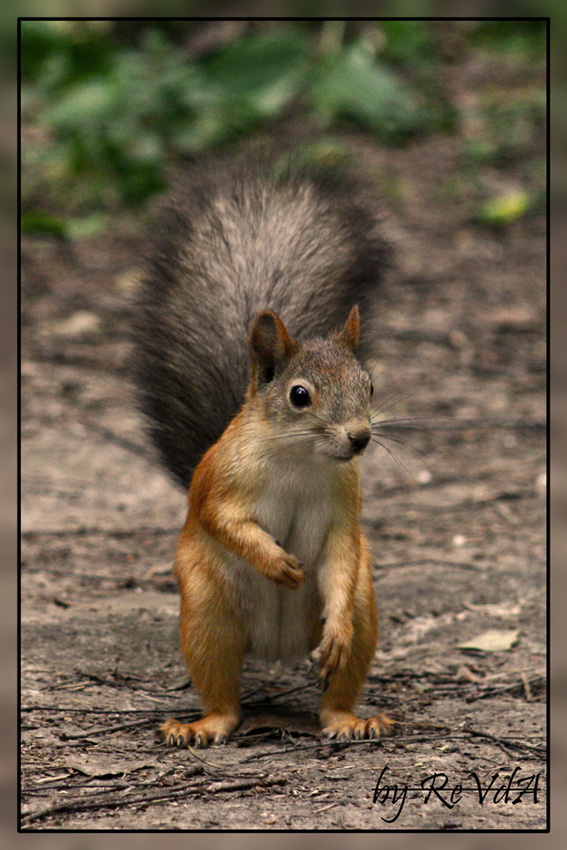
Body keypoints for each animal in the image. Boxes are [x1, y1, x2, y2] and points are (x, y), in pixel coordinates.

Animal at [133, 152, 400, 744]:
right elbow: (220, 518)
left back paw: (351, 718)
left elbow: (343, 552)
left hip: (364, 610)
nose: (360, 437)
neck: (300, 461)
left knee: (338, 677)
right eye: (300, 395)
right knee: (222, 691)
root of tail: (277, 651)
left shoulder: (345, 506)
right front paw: (276, 561)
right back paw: (203, 724)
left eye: (369, 385)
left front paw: (329, 615)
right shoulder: (218, 479)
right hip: (207, 611)